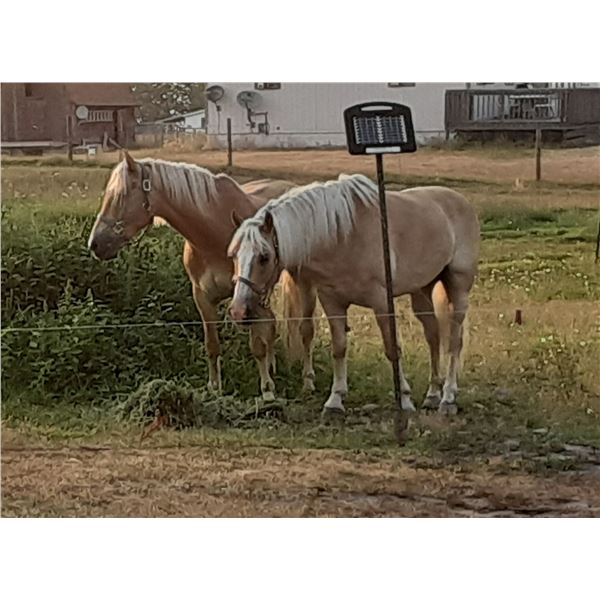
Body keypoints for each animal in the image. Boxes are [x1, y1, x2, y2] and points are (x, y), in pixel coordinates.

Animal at [87, 150, 298, 398]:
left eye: (120, 195)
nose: (95, 244)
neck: (214, 233)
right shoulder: (203, 297)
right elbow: (212, 346)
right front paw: (214, 389)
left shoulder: (250, 296)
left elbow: (256, 346)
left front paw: (267, 391)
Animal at [227, 175, 480, 418]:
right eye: (233, 255)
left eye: (264, 256)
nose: (238, 311)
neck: (344, 237)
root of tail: (461, 201)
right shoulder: (332, 302)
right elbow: (339, 348)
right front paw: (335, 401)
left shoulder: (381, 303)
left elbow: (392, 349)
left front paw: (405, 400)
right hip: (422, 290)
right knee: (433, 336)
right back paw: (432, 395)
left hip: (458, 287)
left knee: (454, 341)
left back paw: (448, 398)